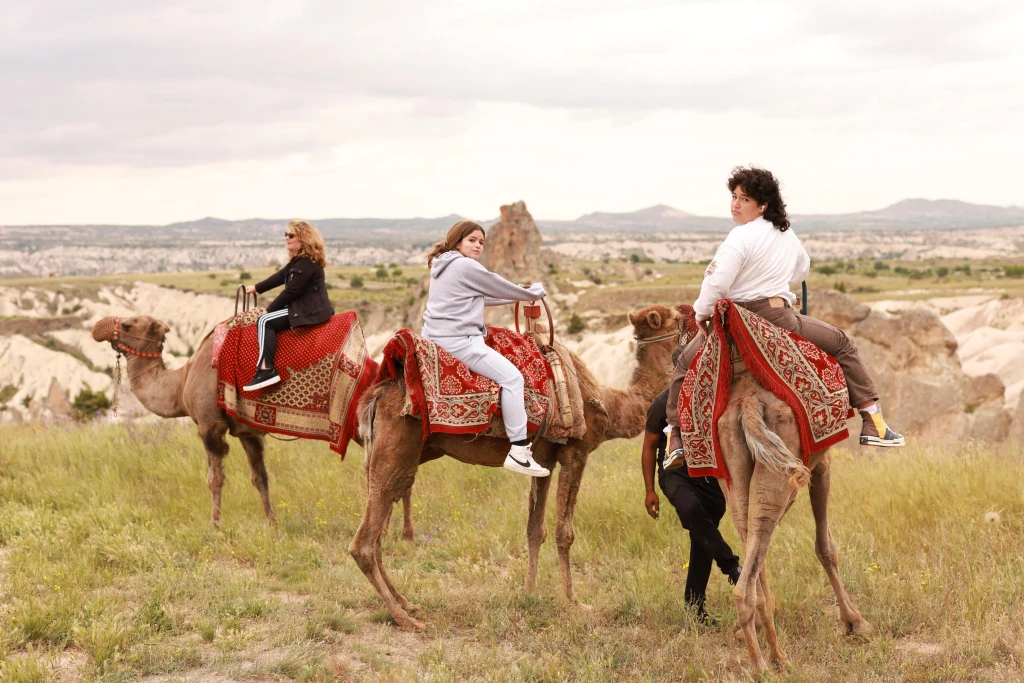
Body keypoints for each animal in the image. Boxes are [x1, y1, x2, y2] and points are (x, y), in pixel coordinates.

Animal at [92, 315, 414, 535]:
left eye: (129, 324)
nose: (100, 326)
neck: (182, 381)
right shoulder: (247, 432)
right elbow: (260, 478)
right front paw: (272, 524)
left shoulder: (210, 425)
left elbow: (214, 478)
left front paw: (215, 525)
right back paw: (401, 534)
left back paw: (390, 533)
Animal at [350, 304, 682, 629]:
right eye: (679, 318)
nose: (691, 321)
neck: (609, 403)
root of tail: (376, 395)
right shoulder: (576, 453)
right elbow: (564, 532)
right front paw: (575, 603)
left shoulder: (545, 460)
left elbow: (535, 530)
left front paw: (529, 593)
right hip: (398, 447)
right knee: (364, 542)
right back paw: (405, 618)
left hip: (392, 456)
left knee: (379, 527)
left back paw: (407, 603)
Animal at [719, 369, 873, 674]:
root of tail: (748, 403)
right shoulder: (822, 462)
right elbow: (826, 547)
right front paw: (854, 622)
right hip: (780, 470)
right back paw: (763, 667)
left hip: (737, 474)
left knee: (751, 532)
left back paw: (774, 655)